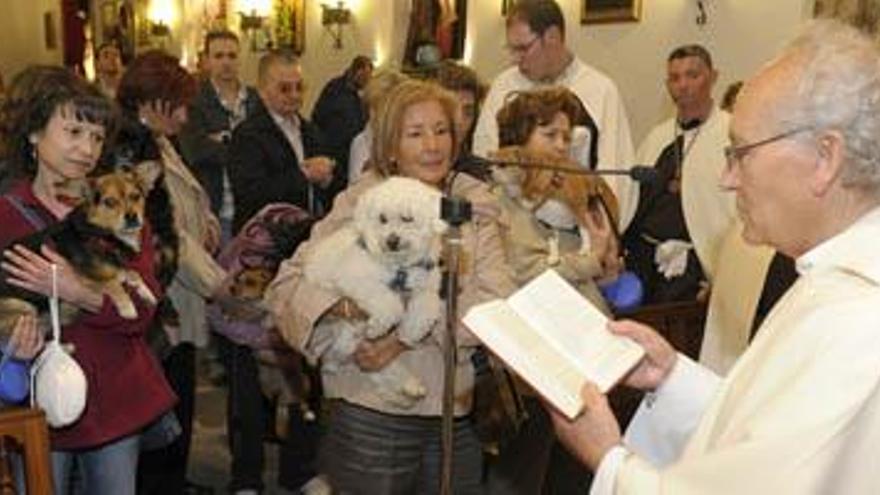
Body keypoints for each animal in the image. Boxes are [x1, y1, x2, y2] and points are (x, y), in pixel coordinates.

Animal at [0, 161, 163, 340]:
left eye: (135, 196)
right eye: (109, 202)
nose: (132, 217)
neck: (102, 236)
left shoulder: (117, 265)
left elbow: (133, 273)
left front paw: (147, 292)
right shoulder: (81, 275)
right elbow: (110, 282)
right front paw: (127, 307)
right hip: (24, 308)